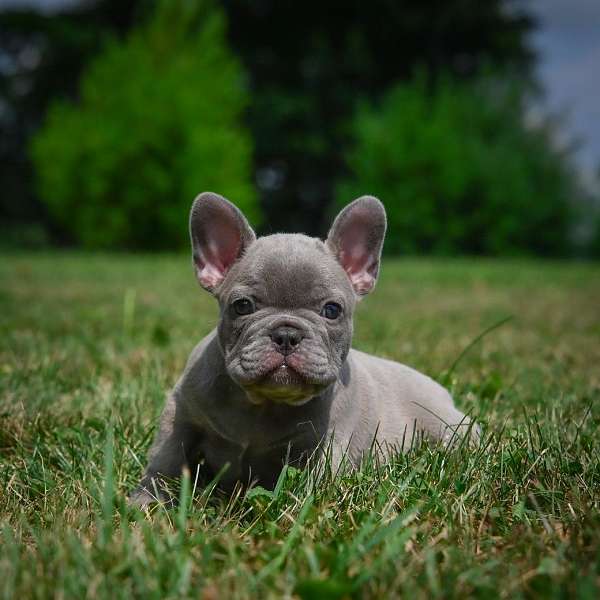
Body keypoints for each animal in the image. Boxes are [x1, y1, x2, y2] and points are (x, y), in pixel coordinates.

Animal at [130, 192, 474, 506]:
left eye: (332, 310)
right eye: (242, 306)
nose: (286, 334)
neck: (263, 404)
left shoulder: (326, 444)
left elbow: (315, 483)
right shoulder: (181, 412)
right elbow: (167, 458)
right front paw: (146, 500)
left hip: (448, 429)